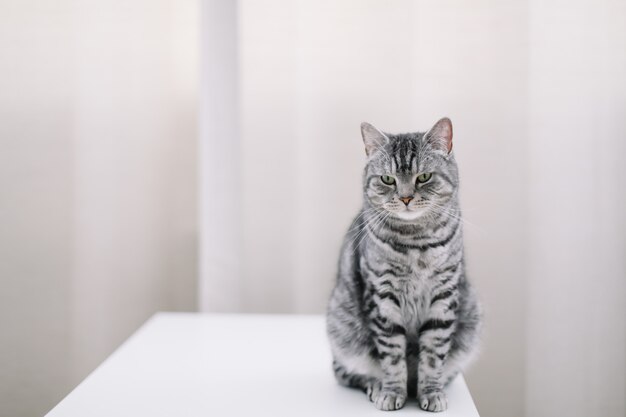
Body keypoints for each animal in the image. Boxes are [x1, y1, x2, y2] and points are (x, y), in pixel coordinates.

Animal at [324, 117, 480, 410]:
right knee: (348, 372)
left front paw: (431, 392)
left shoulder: (443, 294)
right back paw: (376, 385)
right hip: (342, 328)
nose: (406, 198)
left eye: (424, 177)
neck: (416, 243)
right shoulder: (383, 295)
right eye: (387, 179)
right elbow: (392, 356)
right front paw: (392, 392)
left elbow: (433, 355)